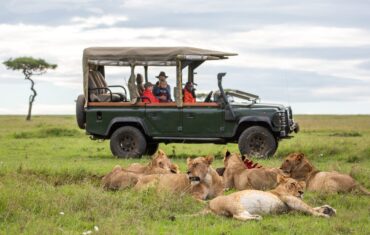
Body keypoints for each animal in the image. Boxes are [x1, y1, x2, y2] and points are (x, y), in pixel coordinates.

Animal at [208, 176, 336, 220]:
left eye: (300, 186)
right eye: (293, 184)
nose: (301, 192)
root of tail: (208, 206)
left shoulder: (291, 209)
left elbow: (312, 207)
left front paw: (328, 209)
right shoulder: (290, 199)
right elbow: (308, 207)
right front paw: (323, 214)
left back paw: (255, 217)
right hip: (233, 203)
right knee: (237, 216)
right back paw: (256, 218)